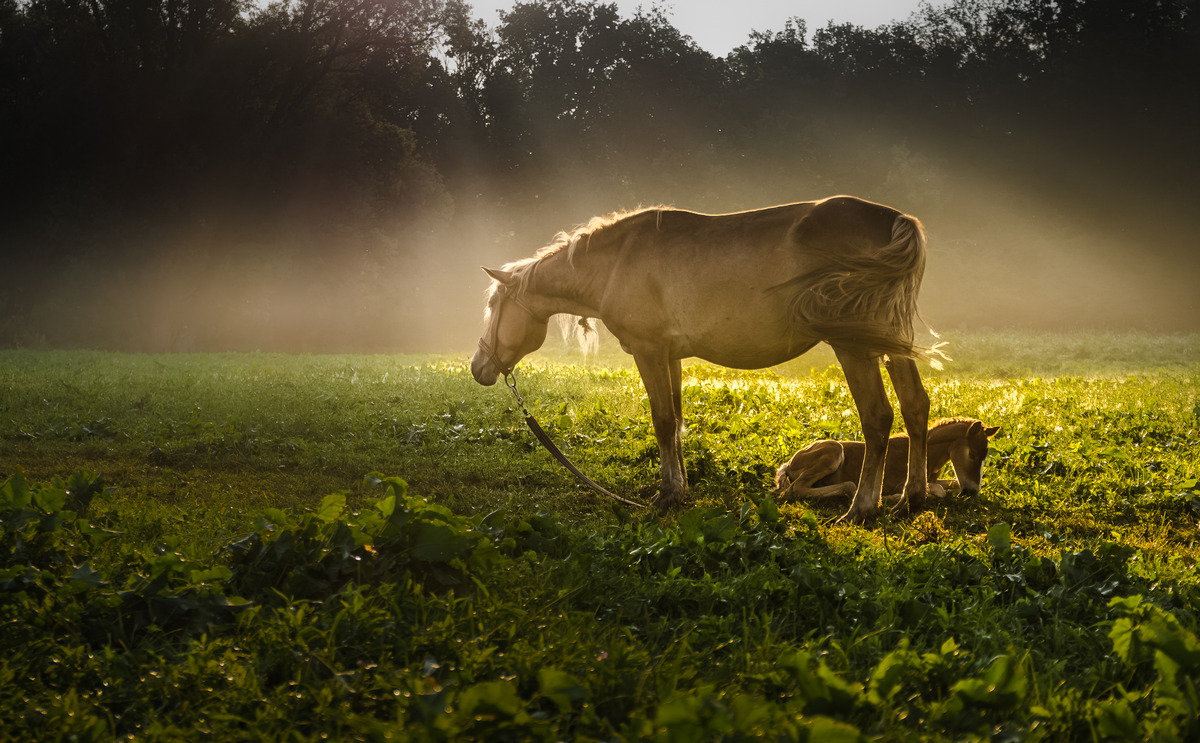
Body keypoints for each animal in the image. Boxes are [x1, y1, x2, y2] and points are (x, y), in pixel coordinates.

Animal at [470, 195, 936, 523]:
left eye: (493, 305)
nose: (478, 367)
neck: (615, 262)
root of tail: (895, 220)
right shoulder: (670, 357)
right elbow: (675, 422)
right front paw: (679, 488)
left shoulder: (649, 351)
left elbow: (661, 421)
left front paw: (665, 495)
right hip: (891, 346)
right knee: (915, 407)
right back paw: (911, 497)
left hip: (854, 349)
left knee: (877, 417)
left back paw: (862, 507)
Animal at [772, 417, 998, 506]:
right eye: (972, 455)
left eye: (986, 456)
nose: (973, 491)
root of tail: (790, 463)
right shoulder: (900, 482)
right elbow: (939, 490)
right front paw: (896, 497)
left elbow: (953, 483)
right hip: (833, 451)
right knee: (795, 489)